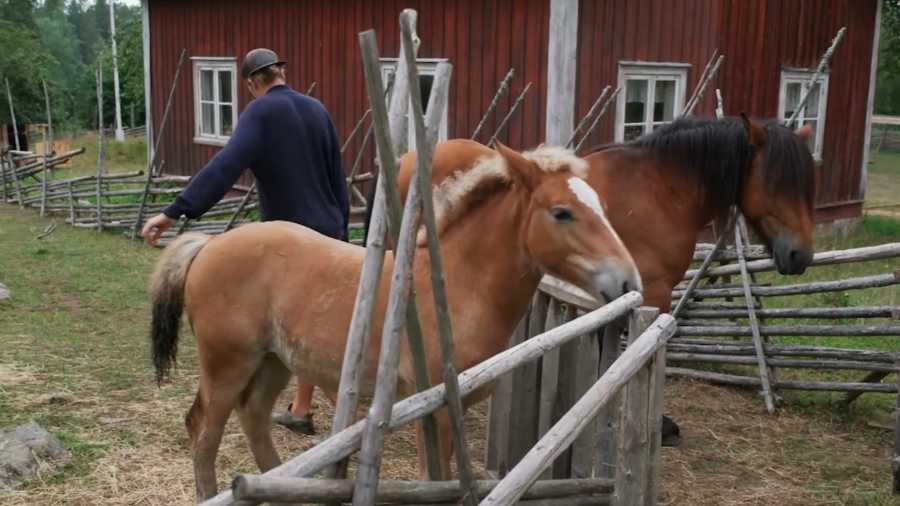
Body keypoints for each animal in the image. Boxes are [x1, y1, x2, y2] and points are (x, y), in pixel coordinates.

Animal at [148, 140, 640, 500]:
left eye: (601, 206)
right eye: (562, 212)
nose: (628, 280)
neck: (455, 284)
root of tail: (209, 245)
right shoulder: (436, 411)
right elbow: (435, 480)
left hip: (274, 363)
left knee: (253, 419)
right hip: (227, 364)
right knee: (204, 433)